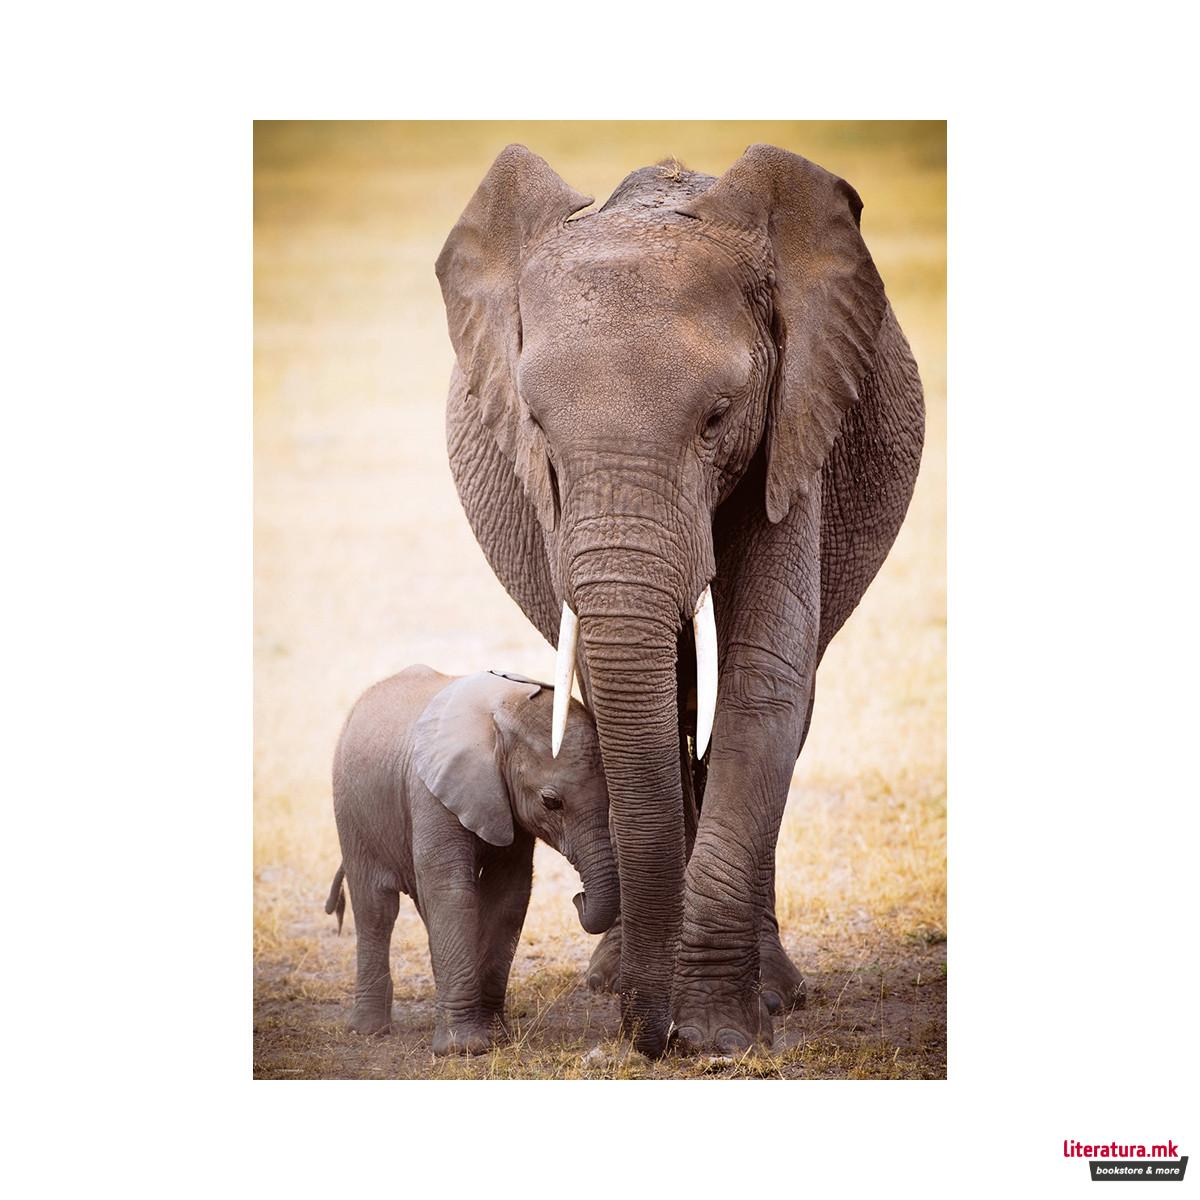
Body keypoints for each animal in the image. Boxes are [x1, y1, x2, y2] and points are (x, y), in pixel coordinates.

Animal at [326, 666, 618, 1055]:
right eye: (551, 802)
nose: (578, 897)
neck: (502, 714)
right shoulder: (430, 792)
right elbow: (452, 891)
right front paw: (463, 1049)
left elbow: (508, 895)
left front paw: (496, 1036)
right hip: (351, 812)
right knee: (376, 908)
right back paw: (369, 1030)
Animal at [435, 143, 924, 1057]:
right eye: (536, 426)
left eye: (717, 418)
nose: (647, 1038)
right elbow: (632, 691)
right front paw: (669, 1012)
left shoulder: (795, 425)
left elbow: (763, 682)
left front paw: (721, 1037)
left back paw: (772, 993)